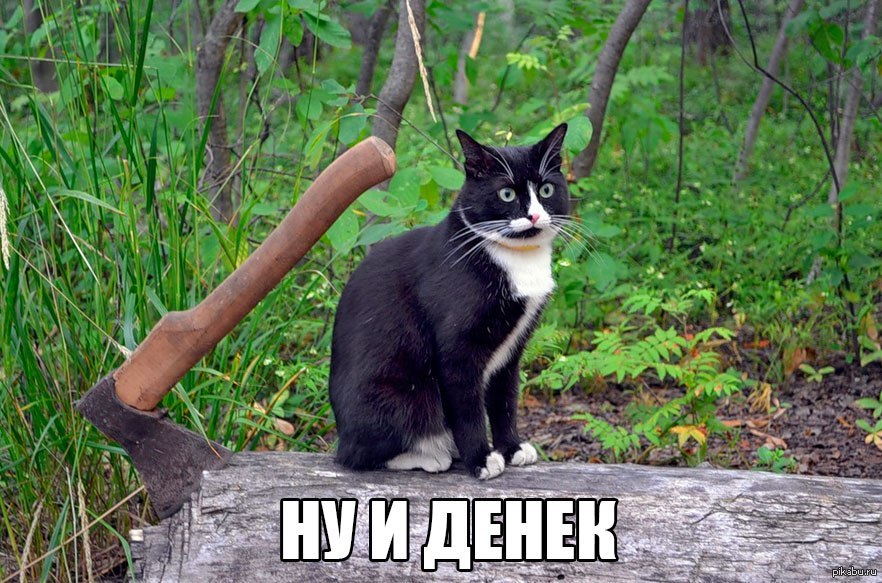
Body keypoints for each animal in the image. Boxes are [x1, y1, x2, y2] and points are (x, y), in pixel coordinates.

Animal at [329, 123, 569, 480]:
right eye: (507, 194)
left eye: (547, 190)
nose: (535, 216)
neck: (515, 258)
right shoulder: (456, 349)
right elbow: (467, 409)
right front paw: (481, 459)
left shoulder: (511, 351)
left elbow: (504, 400)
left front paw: (511, 448)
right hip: (404, 396)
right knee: (356, 455)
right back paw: (431, 456)